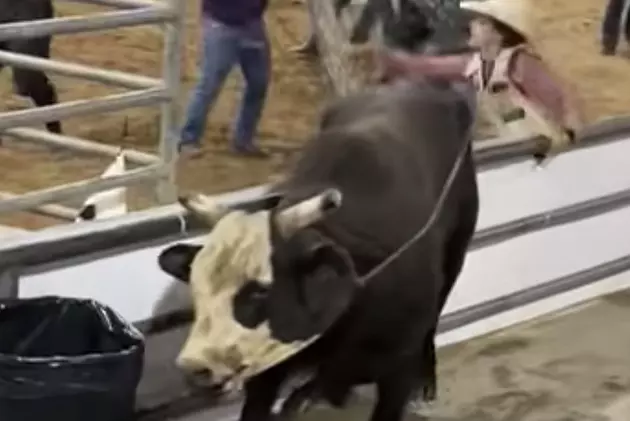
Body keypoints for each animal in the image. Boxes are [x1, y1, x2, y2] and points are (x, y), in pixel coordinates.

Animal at [160, 79, 482, 420]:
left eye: (260, 291)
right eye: (196, 286)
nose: (195, 367)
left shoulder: (398, 366)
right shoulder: (267, 372)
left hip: (456, 254)